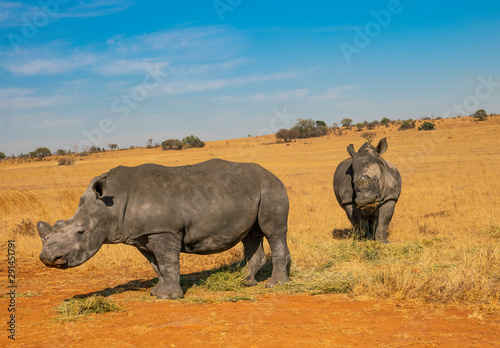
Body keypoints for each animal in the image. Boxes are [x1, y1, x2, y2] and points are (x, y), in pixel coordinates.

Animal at [37, 159, 292, 298]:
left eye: (80, 232)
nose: (48, 259)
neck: (112, 204)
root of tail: (272, 173)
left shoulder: (163, 231)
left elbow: (168, 262)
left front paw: (168, 297)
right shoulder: (142, 235)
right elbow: (156, 266)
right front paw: (156, 293)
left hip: (271, 187)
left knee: (273, 231)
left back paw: (275, 285)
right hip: (252, 190)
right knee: (251, 236)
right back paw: (246, 282)